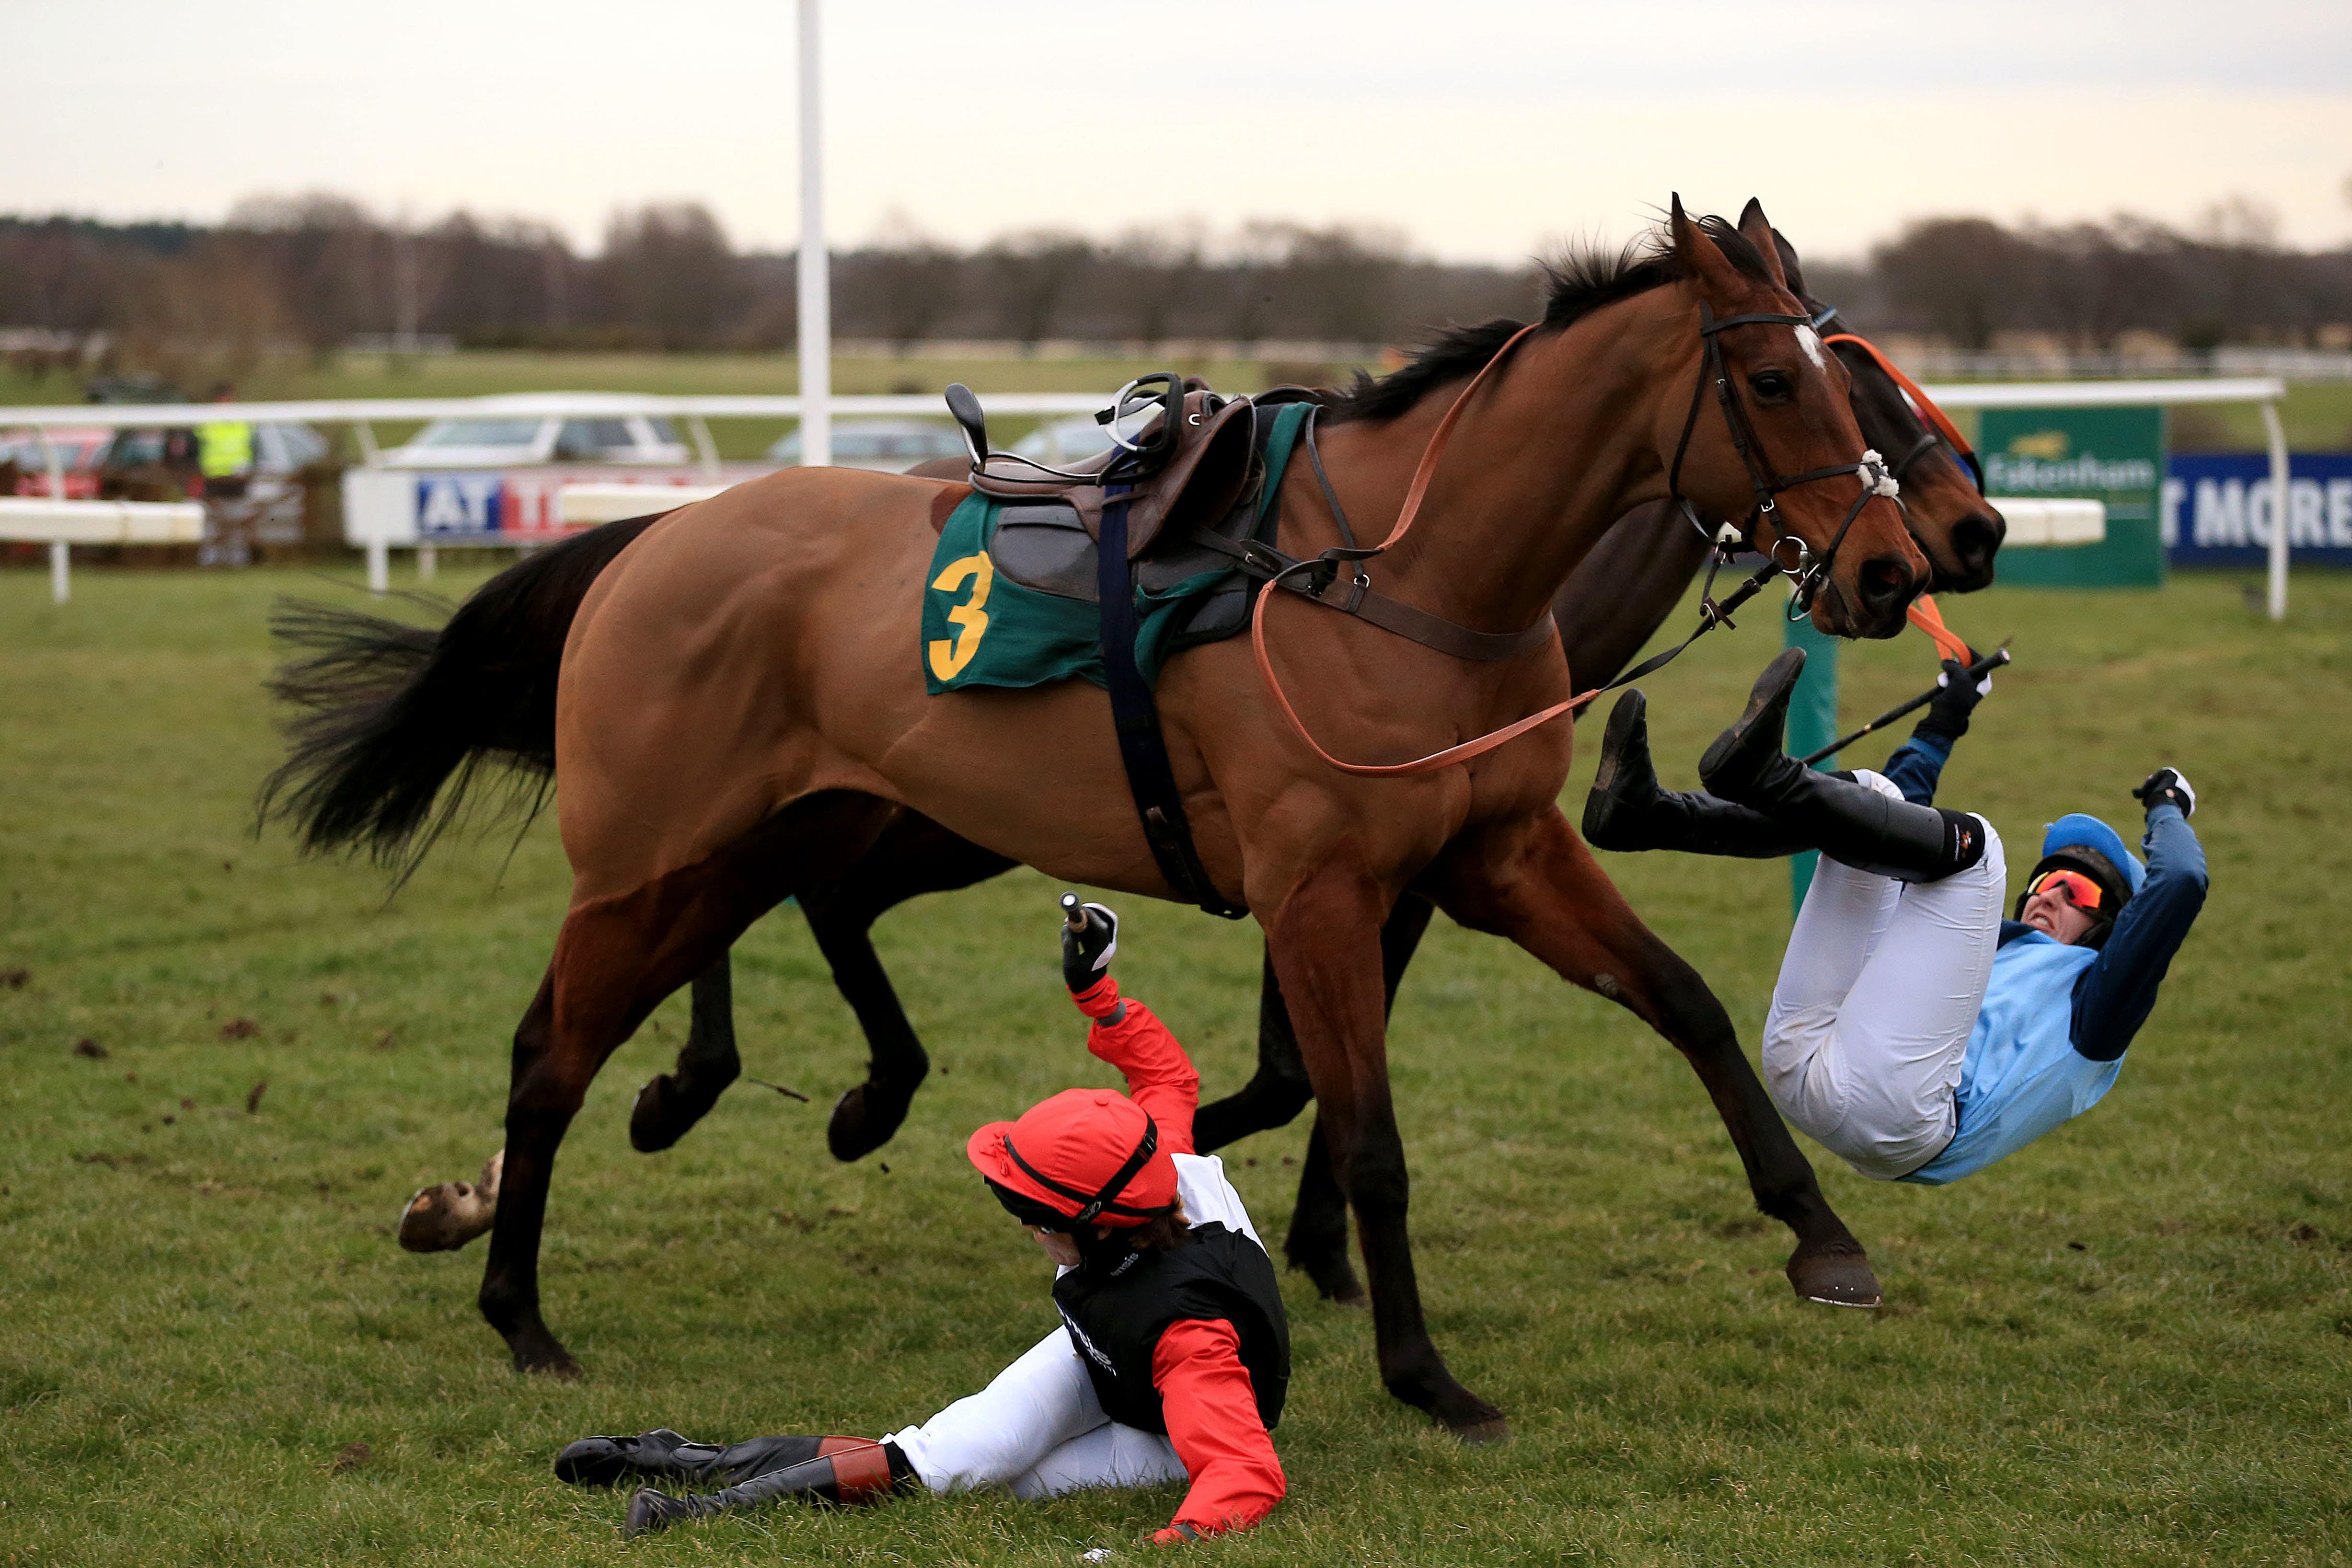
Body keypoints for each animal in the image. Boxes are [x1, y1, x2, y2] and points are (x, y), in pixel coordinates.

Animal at [275, 202, 1928, 1439]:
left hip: (796, 831)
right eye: (1776, 385)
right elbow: (1366, 1133)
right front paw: (1423, 1373)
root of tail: (649, 540)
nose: (1896, 570)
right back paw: (521, 1306)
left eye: (1854, 381)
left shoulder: (1499, 853)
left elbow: (1685, 1002)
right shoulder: (1322, 889)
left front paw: (1822, 1238)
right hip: (655, 857)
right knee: (547, 1056)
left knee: (737, 965)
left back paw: (710, 1113)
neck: (1403, 576)